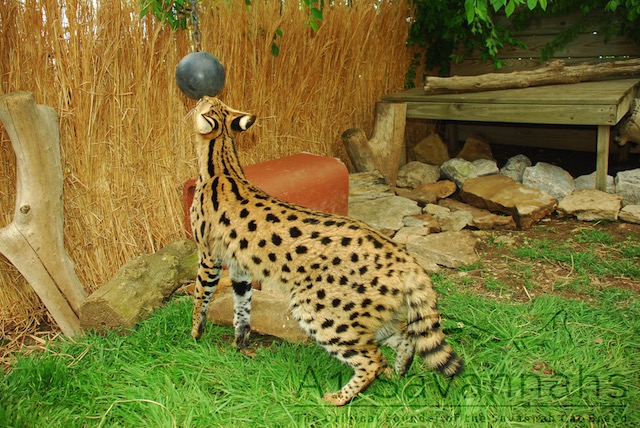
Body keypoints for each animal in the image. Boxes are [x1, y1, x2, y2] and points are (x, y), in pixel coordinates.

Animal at [188, 96, 462, 404]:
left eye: (205, 105)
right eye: (214, 102)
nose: (201, 97)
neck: (223, 166)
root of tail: (405, 259)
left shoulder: (208, 256)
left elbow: (200, 298)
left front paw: (194, 336)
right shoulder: (240, 269)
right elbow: (242, 310)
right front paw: (239, 345)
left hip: (319, 311)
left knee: (372, 359)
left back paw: (338, 398)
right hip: (371, 316)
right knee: (405, 339)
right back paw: (397, 375)